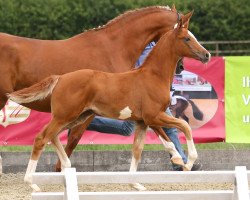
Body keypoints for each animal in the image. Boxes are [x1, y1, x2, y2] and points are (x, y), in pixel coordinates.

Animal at [7, 10, 210, 191]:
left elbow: (137, 150)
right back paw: (32, 182)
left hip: (77, 116)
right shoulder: (153, 116)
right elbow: (185, 127)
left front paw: (135, 184)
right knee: (42, 138)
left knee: (53, 135)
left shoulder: (142, 122)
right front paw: (187, 162)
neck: (152, 75)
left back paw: (65, 165)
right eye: (187, 38)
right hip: (66, 116)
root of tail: (60, 78)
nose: (206, 55)